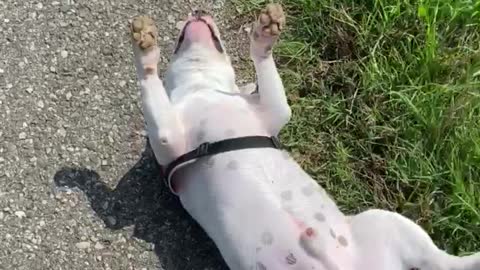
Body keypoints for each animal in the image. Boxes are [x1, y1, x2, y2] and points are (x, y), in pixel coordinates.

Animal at [128, 2, 480, 270]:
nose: (199, 9)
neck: (203, 87)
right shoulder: (168, 140)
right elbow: (151, 84)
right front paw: (144, 49)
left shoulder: (273, 111)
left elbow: (265, 69)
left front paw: (265, 34)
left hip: (387, 223)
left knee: (444, 262)